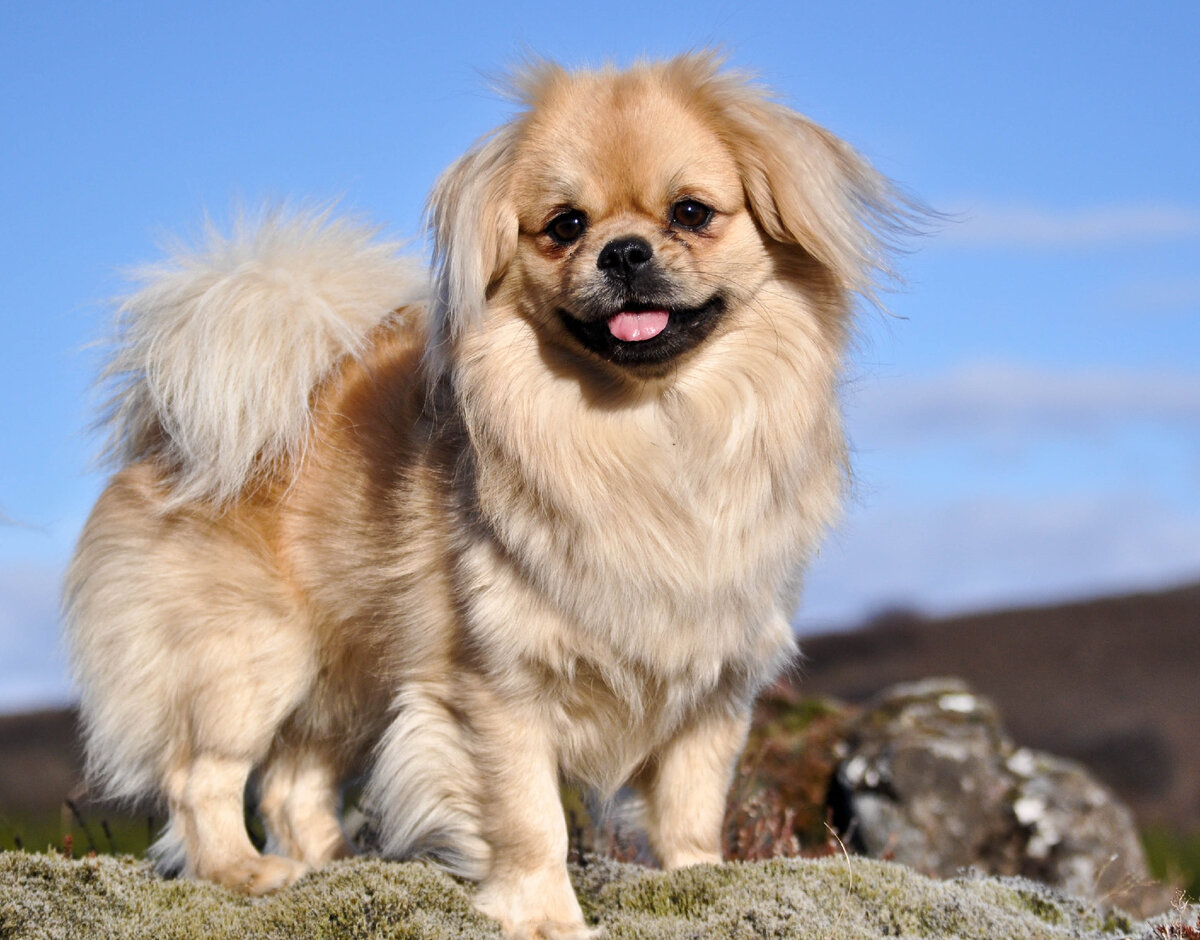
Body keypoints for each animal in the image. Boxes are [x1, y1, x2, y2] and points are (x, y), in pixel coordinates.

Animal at [63, 53, 907, 940]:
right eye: (565, 226)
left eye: (691, 213)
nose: (624, 252)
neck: (651, 436)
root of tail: (174, 431)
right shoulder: (498, 690)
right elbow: (529, 819)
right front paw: (545, 918)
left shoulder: (710, 686)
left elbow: (690, 808)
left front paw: (702, 887)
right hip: (251, 663)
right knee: (205, 777)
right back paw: (246, 873)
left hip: (346, 676)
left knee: (294, 783)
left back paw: (334, 870)